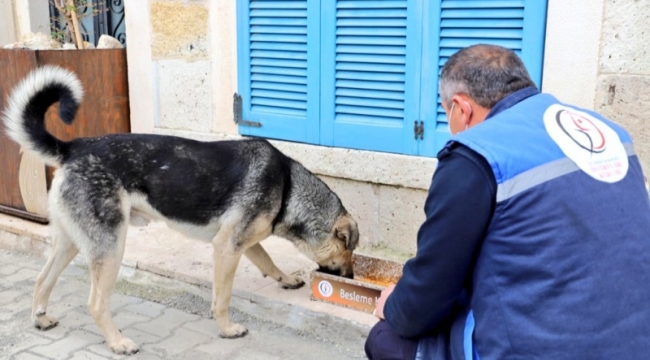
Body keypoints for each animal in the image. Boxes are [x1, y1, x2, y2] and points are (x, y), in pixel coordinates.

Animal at [1, 66, 360, 356]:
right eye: (349, 251)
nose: (352, 277)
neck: (288, 187)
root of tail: (73, 148)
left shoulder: (241, 243)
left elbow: (267, 261)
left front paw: (285, 279)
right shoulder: (226, 249)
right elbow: (222, 299)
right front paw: (227, 329)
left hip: (70, 243)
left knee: (42, 279)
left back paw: (41, 318)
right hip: (110, 248)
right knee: (96, 303)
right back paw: (118, 343)